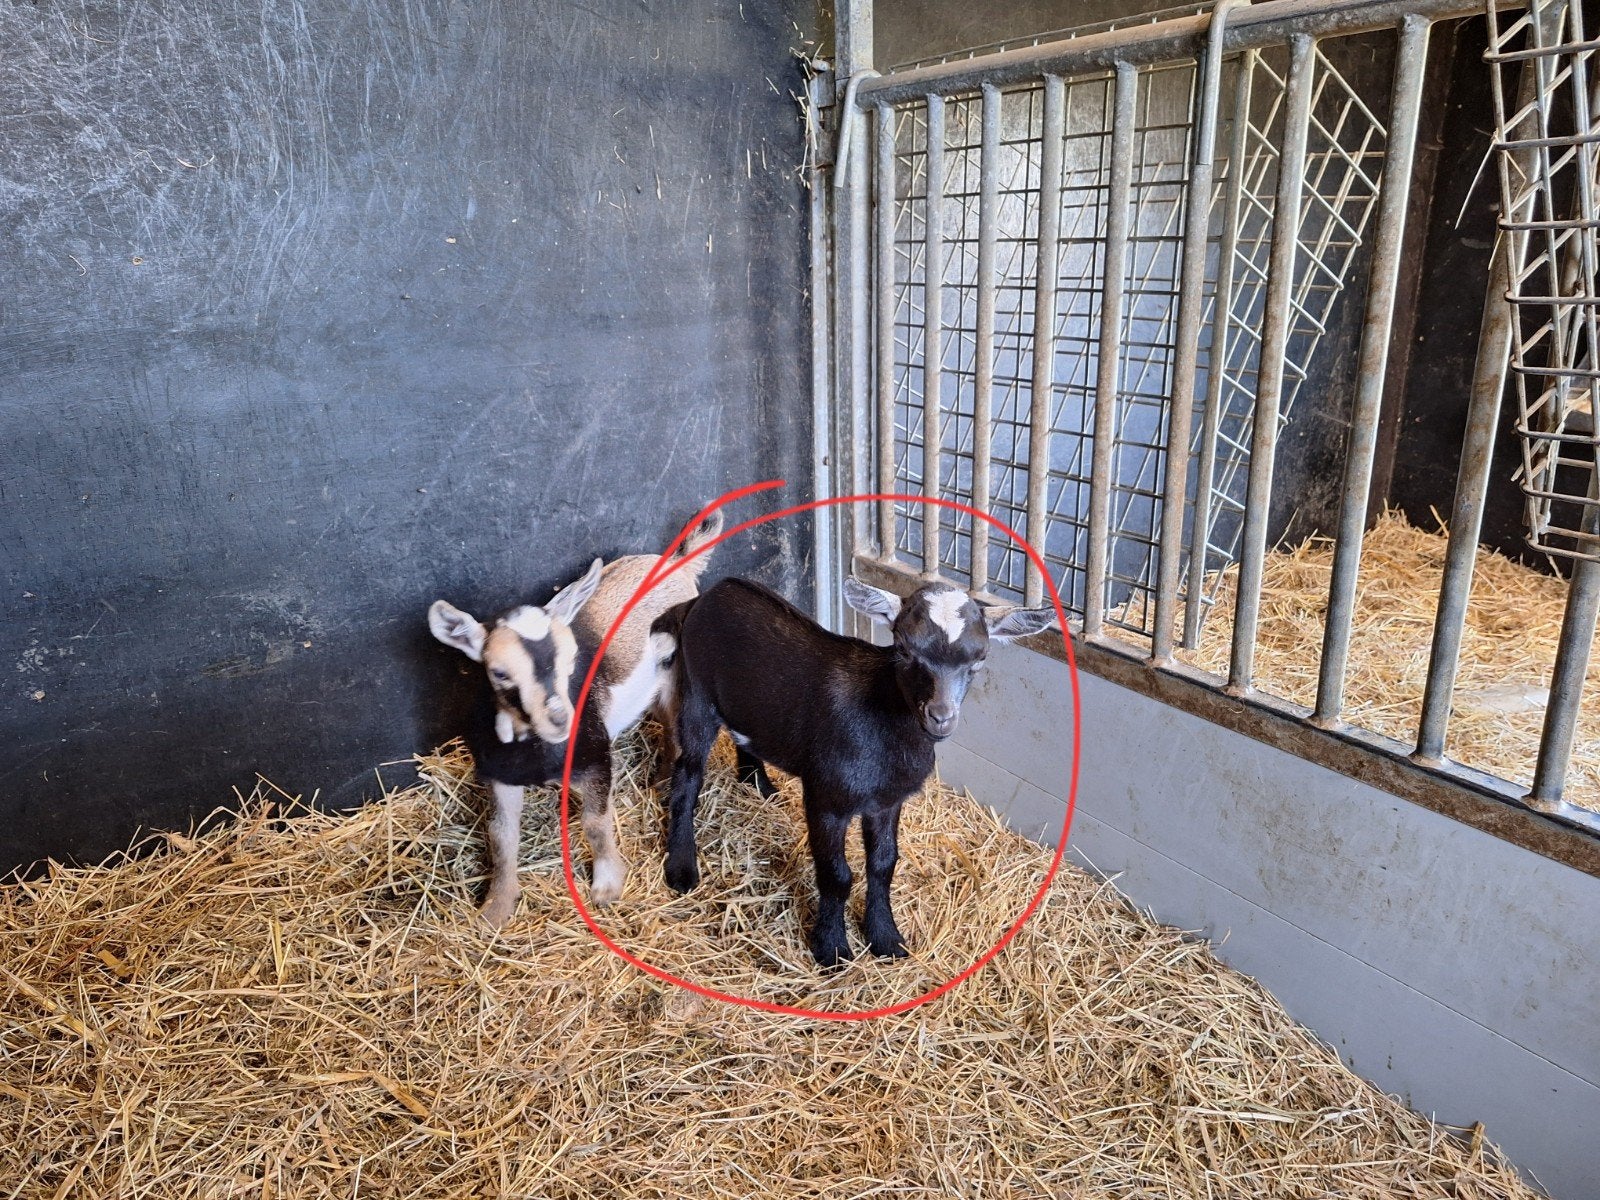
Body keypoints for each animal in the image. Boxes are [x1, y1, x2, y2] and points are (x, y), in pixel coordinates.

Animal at [428, 511, 723, 928]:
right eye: (499, 672)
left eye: (572, 659)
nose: (558, 719)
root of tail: (676, 564)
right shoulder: (499, 775)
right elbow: (501, 835)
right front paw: (496, 909)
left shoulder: (596, 759)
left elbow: (595, 823)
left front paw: (607, 887)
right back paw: (660, 780)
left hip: (676, 676)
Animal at [655, 575, 1056, 967]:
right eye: (904, 649)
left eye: (980, 658)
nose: (940, 717)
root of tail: (711, 592)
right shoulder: (826, 798)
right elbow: (837, 874)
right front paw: (832, 948)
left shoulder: (888, 802)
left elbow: (883, 864)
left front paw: (886, 938)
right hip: (696, 692)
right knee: (688, 772)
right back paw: (682, 868)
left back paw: (758, 784)